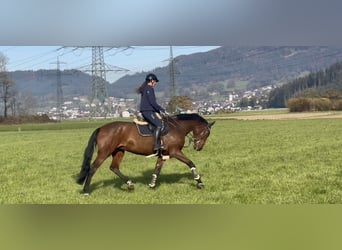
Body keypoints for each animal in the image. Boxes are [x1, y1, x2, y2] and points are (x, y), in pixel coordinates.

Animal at [76, 113, 215, 193]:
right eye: (206, 133)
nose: (199, 147)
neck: (177, 127)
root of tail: (101, 128)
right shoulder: (175, 152)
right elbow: (191, 163)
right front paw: (199, 182)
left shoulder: (163, 155)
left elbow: (157, 170)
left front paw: (152, 185)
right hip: (104, 152)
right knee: (93, 168)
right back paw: (86, 190)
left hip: (119, 151)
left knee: (114, 167)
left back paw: (130, 185)